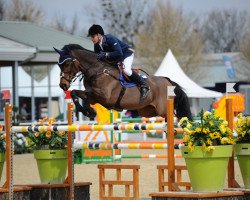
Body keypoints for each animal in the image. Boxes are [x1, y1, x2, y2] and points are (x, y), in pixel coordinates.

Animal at [53, 44, 192, 120]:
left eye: (66, 64)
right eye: (59, 65)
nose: (62, 85)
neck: (98, 70)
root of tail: (167, 80)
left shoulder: (102, 96)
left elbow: (79, 93)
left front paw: (89, 111)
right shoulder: (93, 95)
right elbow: (76, 94)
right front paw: (89, 111)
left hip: (163, 109)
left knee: (175, 117)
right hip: (147, 111)